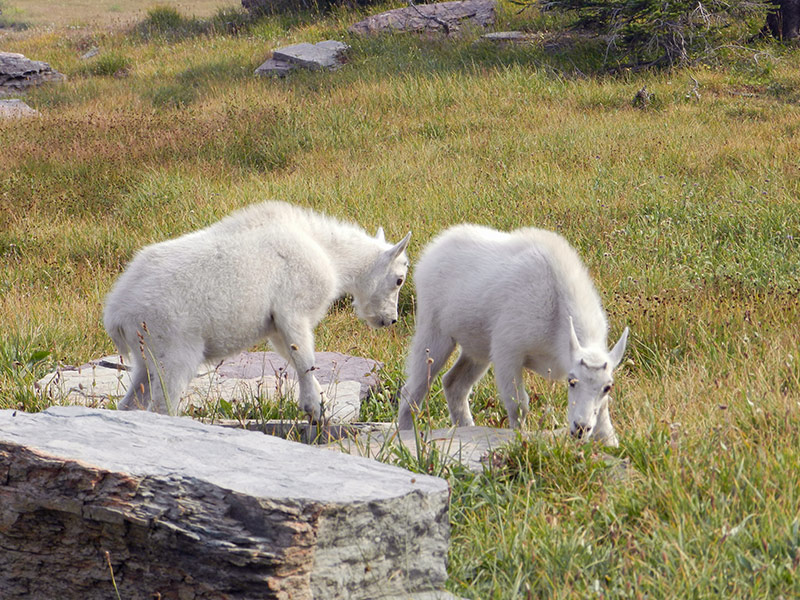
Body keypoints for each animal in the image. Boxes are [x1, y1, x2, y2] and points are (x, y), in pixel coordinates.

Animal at [103, 202, 410, 418]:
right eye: (399, 279)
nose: (390, 320)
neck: (330, 255)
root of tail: (116, 312)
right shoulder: (294, 312)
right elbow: (304, 359)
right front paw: (313, 407)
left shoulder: (276, 326)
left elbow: (294, 357)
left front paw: (321, 400)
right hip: (174, 352)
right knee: (162, 407)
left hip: (147, 357)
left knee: (131, 402)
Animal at [396, 224, 628, 446]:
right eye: (572, 381)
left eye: (608, 387)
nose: (580, 428)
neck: (557, 312)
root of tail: (432, 251)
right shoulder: (508, 352)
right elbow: (519, 404)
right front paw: (520, 439)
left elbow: (604, 416)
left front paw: (609, 441)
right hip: (434, 332)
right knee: (413, 389)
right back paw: (408, 433)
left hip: (477, 349)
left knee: (454, 384)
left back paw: (465, 427)